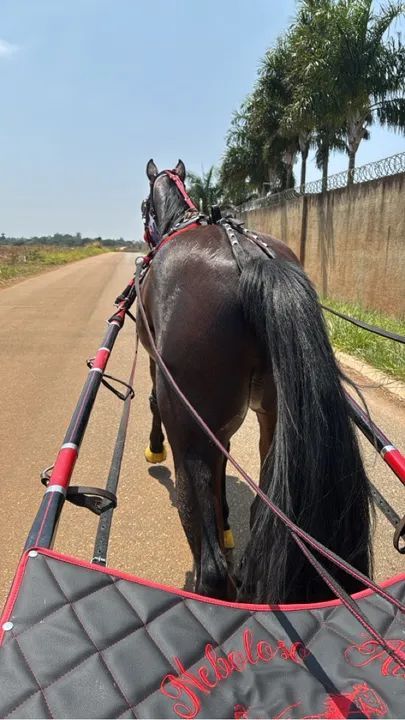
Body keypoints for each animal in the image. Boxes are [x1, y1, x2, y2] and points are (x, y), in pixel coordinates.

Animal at [136, 158, 373, 604]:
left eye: (144, 206)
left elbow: (154, 402)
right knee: (263, 515)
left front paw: (153, 449)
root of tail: (250, 261)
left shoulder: (155, 359)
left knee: (212, 567)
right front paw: (228, 522)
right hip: (278, 420)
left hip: (189, 427)